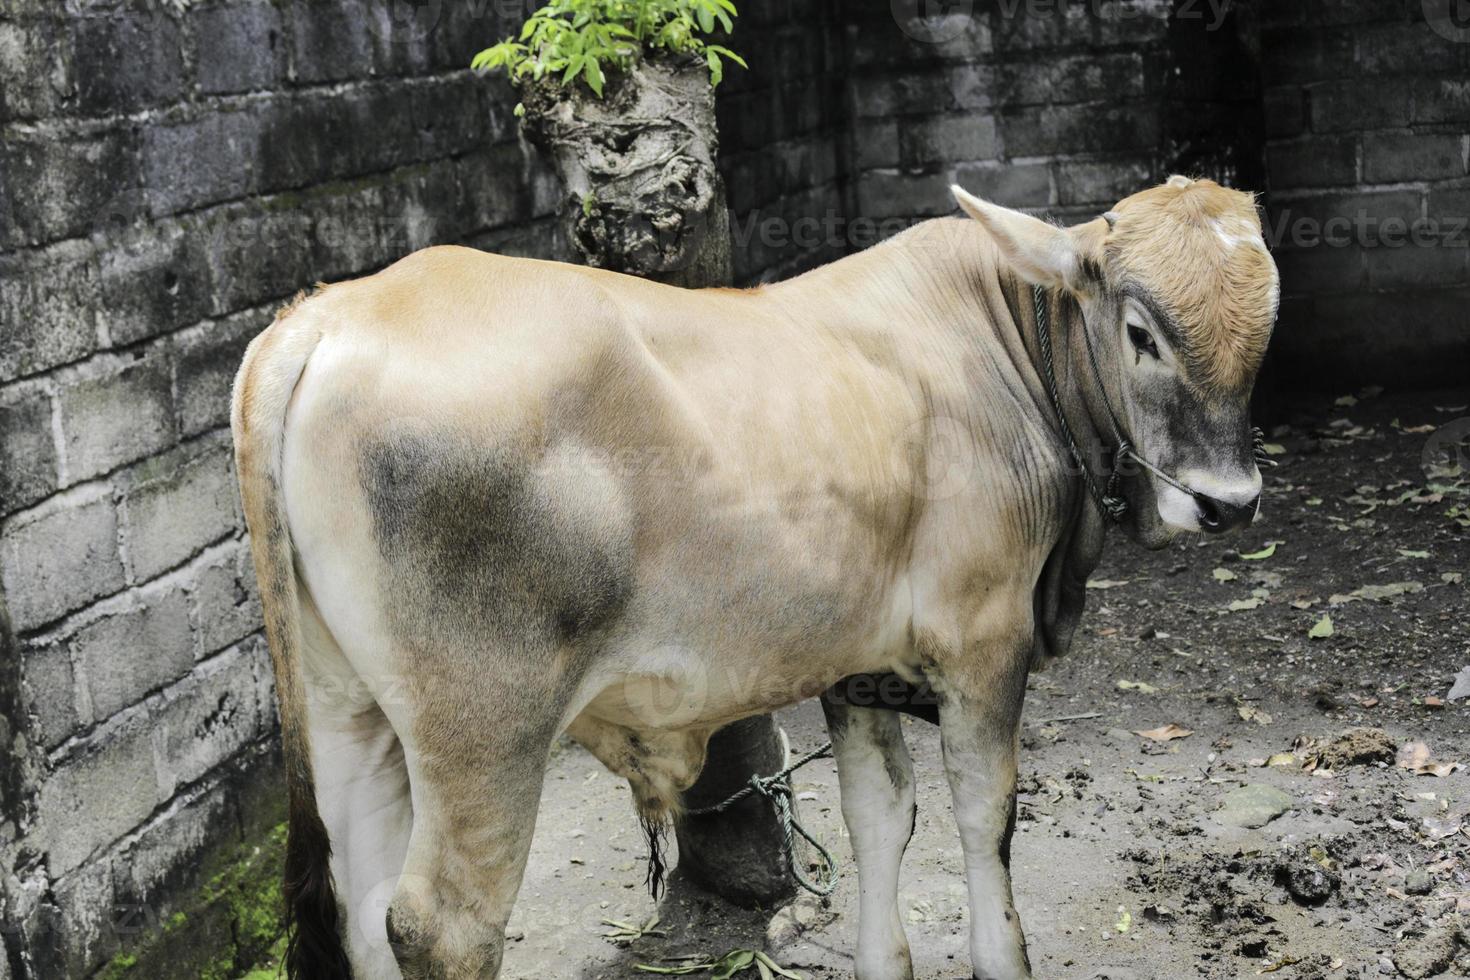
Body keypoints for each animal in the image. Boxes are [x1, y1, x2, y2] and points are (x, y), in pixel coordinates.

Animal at [235, 176, 1281, 980]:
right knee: (443, 926)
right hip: (485, 727)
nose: (1230, 503)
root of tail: (330, 315)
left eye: (1267, 329)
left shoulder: (860, 668)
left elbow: (879, 818)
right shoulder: (984, 645)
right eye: (1141, 332)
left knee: (364, 906)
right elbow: (986, 819)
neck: (1001, 341)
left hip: (349, 712)